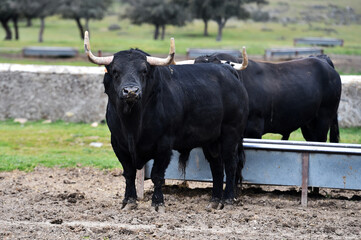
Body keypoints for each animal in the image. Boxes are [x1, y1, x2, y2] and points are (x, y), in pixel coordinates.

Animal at [102, 50, 248, 210]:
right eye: (115, 71)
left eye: (144, 71)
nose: (131, 91)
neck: (133, 125)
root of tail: (228, 70)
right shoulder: (118, 144)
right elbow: (129, 173)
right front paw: (129, 201)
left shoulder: (164, 145)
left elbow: (157, 175)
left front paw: (157, 203)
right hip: (211, 141)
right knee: (217, 167)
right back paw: (214, 200)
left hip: (231, 134)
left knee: (230, 165)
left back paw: (227, 201)